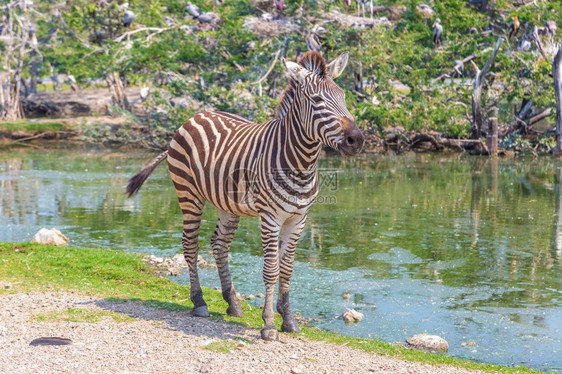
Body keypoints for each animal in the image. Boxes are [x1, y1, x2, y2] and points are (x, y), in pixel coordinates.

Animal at [126, 50, 364, 342]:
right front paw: (269, 325)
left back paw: (232, 302)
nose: (357, 139)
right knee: (190, 245)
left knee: (219, 244)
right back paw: (200, 302)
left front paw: (288, 319)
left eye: (344, 97)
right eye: (318, 100)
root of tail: (196, 116)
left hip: (227, 204)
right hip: (189, 194)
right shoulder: (270, 218)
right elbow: (271, 269)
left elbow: (287, 269)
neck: (301, 163)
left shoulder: (298, 219)